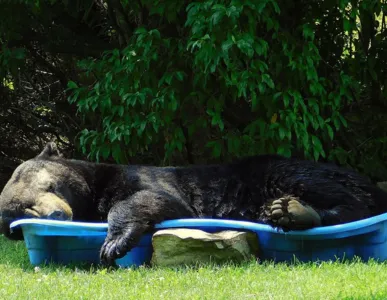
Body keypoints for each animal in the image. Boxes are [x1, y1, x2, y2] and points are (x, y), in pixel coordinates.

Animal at [0, 143, 387, 264]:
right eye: (21, 212)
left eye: (49, 185)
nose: (56, 213)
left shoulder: (141, 178)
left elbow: (155, 198)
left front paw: (114, 243)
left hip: (287, 171)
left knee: (341, 195)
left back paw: (293, 210)